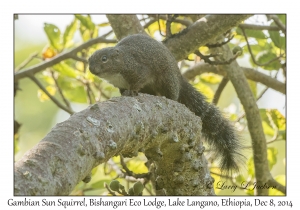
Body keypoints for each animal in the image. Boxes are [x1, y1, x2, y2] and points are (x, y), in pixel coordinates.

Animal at [88, 33, 244, 174]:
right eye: (89, 60)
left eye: (104, 58)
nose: (91, 69)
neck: (120, 64)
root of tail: (179, 77)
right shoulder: (120, 84)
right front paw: (124, 93)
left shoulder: (138, 70)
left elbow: (138, 81)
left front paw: (132, 91)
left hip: (168, 79)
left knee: (172, 93)